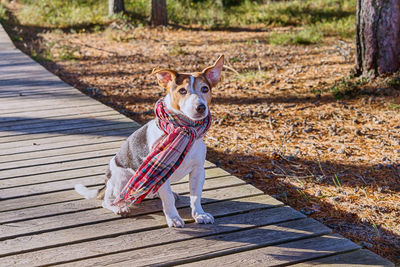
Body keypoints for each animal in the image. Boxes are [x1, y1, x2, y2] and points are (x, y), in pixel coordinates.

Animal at [75, 55, 225, 228]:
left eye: (205, 89)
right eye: (182, 91)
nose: (200, 107)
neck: (185, 129)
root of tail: (106, 182)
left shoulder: (198, 171)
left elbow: (195, 197)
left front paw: (199, 214)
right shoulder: (162, 171)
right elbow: (168, 199)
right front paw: (173, 218)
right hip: (121, 180)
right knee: (108, 201)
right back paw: (119, 207)